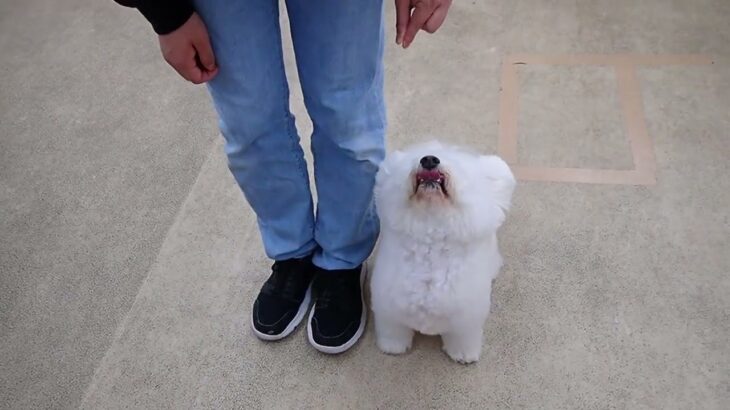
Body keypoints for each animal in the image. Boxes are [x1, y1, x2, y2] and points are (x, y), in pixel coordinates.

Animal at [366, 142, 516, 366]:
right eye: (416, 156)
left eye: (457, 162)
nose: (429, 159)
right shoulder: (389, 310)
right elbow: (393, 332)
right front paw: (392, 347)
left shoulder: (466, 320)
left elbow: (463, 338)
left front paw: (464, 354)